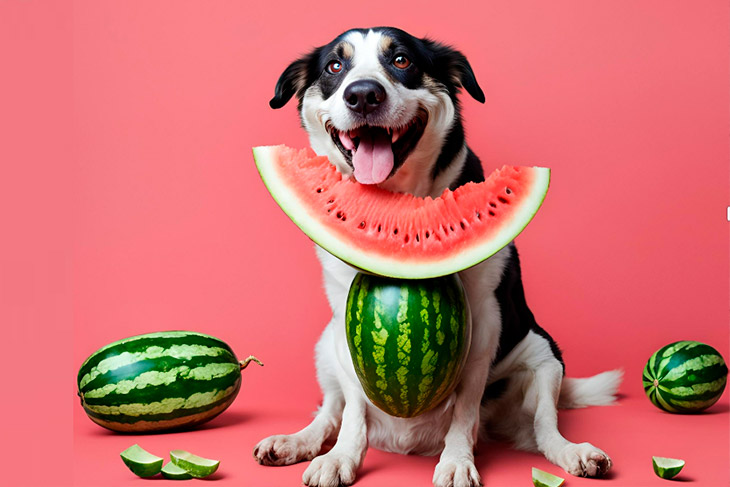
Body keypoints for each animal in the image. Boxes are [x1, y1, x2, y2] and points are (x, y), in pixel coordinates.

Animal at [255, 27, 620, 487]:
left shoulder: (484, 324)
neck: (399, 199)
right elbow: (352, 413)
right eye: (335, 67)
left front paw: (457, 462)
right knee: (330, 413)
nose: (363, 94)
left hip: (544, 357)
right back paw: (296, 442)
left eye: (402, 60)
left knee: (544, 428)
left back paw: (574, 452)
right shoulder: (345, 324)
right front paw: (341, 459)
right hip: (326, 346)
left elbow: (464, 412)